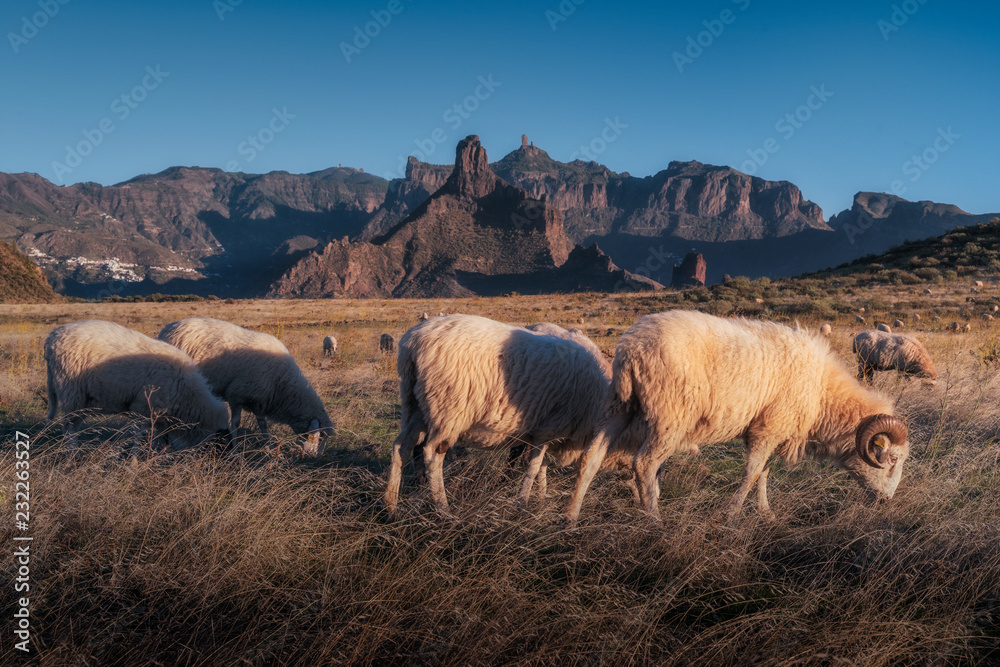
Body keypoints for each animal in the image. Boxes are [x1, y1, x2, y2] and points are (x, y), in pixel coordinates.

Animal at [45, 320, 230, 455]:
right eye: (220, 441)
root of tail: (51, 339)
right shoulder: (142, 408)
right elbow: (138, 435)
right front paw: (135, 460)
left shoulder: (158, 415)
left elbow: (161, 438)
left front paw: (158, 456)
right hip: (72, 392)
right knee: (70, 429)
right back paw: (73, 457)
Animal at [158, 318, 333, 457]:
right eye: (320, 437)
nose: (317, 457)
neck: (282, 384)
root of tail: (168, 328)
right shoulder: (236, 396)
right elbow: (235, 424)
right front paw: (235, 451)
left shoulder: (260, 400)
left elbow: (263, 425)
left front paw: (269, 448)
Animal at [385, 314, 619, 516]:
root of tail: (413, 343)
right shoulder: (549, 429)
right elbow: (534, 468)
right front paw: (522, 503)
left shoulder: (541, 433)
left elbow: (540, 467)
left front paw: (541, 499)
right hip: (448, 411)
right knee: (432, 455)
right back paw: (443, 510)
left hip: (415, 406)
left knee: (400, 447)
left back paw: (391, 507)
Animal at [565, 310, 910, 525]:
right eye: (891, 459)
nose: (886, 503)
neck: (823, 396)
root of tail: (632, 348)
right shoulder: (768, 429)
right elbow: (752, 473)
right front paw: (730, 516)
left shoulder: (772, 430)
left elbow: (764, 473)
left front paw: (765, 513)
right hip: (670, 415)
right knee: (645, 465)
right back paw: (655, 522)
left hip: (620, 405)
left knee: (591, 457)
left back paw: (571, 518)